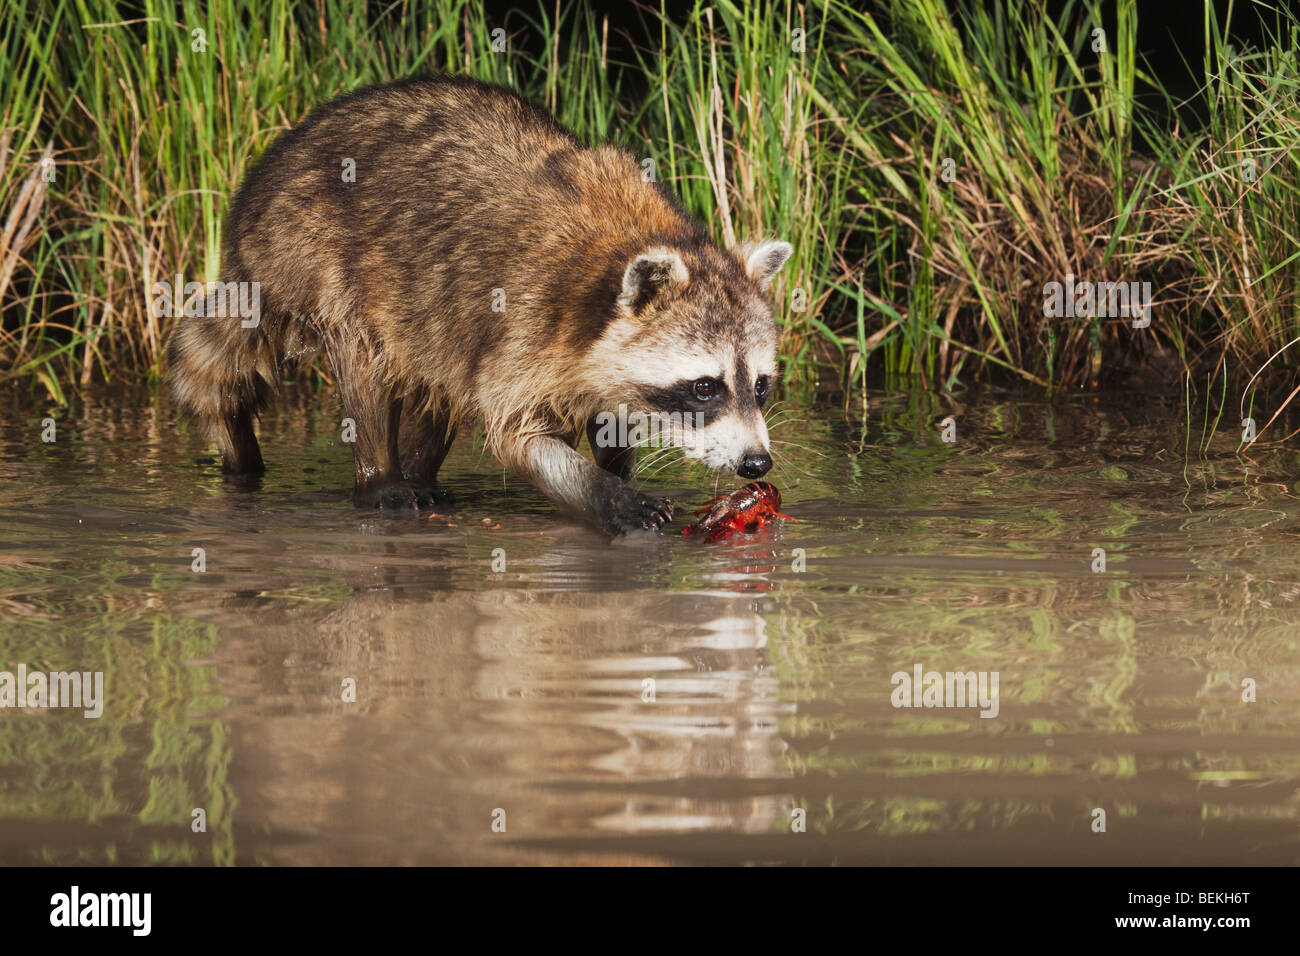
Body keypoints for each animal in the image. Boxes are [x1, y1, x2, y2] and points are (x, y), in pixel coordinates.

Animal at [165, 74, 790, 538]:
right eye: (705, 387)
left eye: (760, 386)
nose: (756, 464)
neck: (639, 237)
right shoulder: (529, 318)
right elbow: (515, 435)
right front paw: (605, 494)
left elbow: (603, 415)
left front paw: (618, 470)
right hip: (313, 247)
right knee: (364, 361)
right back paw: (380, 478)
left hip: (425, 310)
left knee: (435, 383)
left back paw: (421, 475)